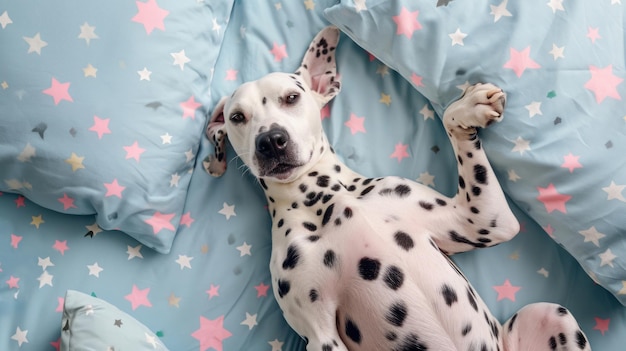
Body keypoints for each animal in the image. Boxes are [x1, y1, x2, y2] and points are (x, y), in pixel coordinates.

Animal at [205, 27, 588, 351]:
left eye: (291, 97)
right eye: (237, 117)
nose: (271, 141)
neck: (322, 198)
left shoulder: (483, 220)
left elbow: (450, 120)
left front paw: (467, 108)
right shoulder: (321, 336)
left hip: (551, 314)